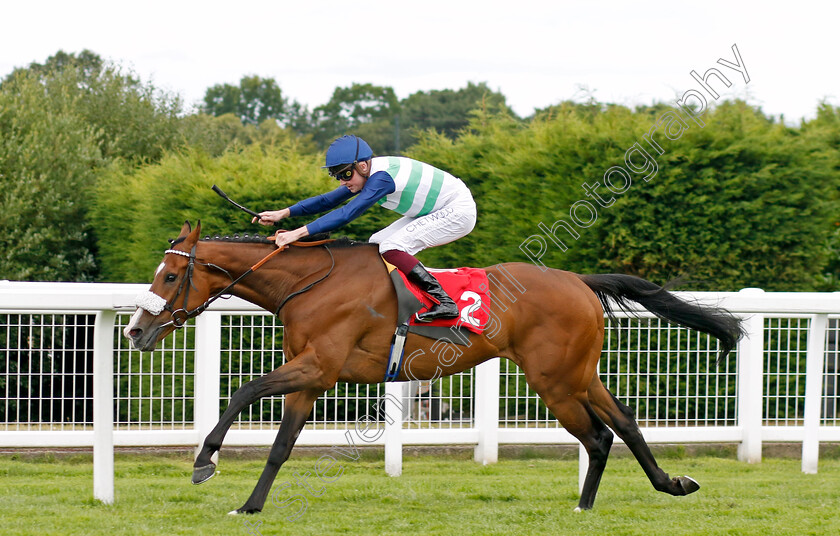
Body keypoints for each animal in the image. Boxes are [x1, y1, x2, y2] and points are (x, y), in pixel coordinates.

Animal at [123, 222, 740, 516]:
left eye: (171, 277)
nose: (135, 331)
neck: (311, 284)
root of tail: (578, 281)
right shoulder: (312, 377)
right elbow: (280, 445)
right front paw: (251, 504)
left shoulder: (317, 367)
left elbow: (243, 391)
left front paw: (205, 461)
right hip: (577, 374)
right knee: (624, 425)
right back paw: (666, 485)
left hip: (555, 380)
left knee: (596, 436)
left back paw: (586, 505)